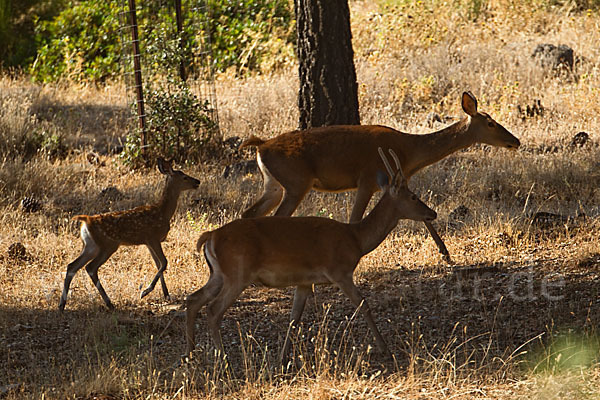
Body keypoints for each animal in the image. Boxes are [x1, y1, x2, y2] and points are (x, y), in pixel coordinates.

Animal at [59, 158, 200, 310]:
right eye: (184, 177)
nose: (197, 181)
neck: (163, 212)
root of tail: (86, 220)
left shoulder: (148, 242)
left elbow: (158, 264)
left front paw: (166, 294)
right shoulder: (153, 237)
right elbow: (164, 262)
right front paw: (146, 291)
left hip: (91, 245)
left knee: (72, 266)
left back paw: (62, 305)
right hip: (108, 244)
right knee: (91, 267)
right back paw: (109, 303)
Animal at [183, 148, 436, 362]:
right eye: (413, 196)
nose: (432, 213)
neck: (356, 239)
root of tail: (211, 237)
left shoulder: (304, 282)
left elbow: (294, 318)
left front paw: (282, 357)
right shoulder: (340, 272)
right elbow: (363, 305)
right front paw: (385, 348)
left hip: (218, 274)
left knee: (193, 299)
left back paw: (191, 352)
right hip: (238, 274)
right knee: (213, 310)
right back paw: (222, 357)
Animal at [239, 92, 520, 264]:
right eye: (491, 123)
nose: (515, 141)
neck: (409, 151)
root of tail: (260, 146)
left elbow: (420, 213)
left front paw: (445, 253)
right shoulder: (368, 179)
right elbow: (355, 218)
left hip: (274, 185)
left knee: (249, 213)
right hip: (296, 183)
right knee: (277, 217)